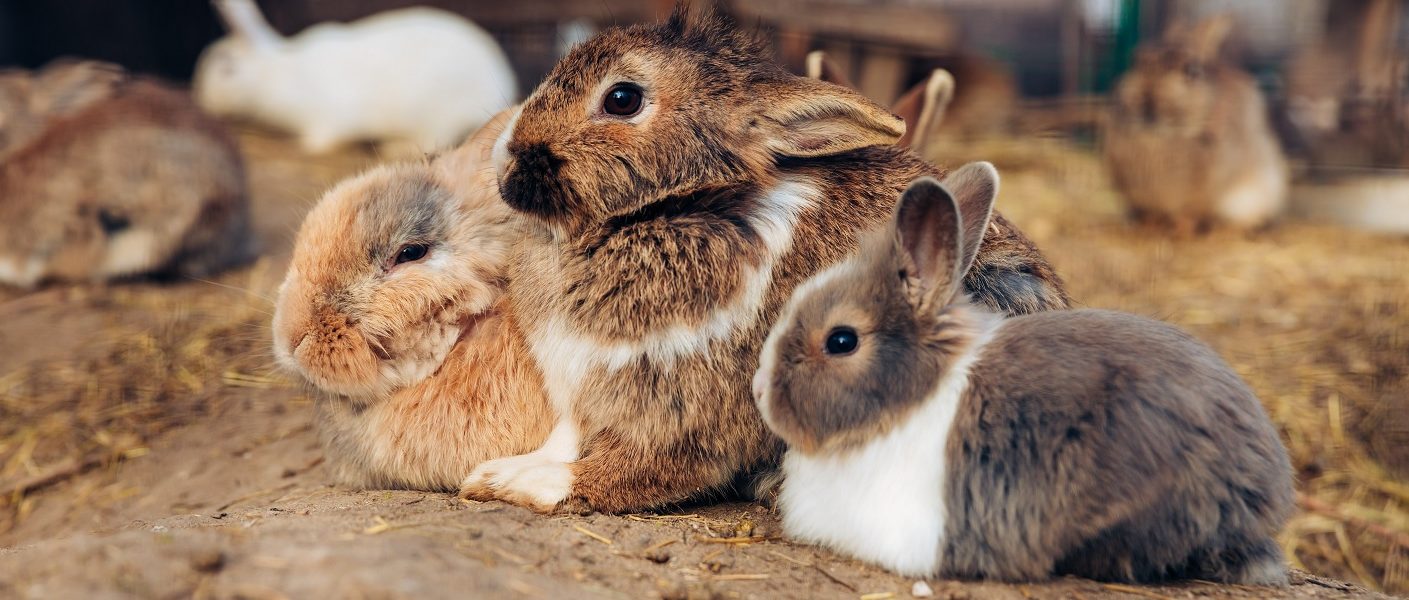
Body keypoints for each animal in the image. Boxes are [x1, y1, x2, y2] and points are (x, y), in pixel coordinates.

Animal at [190, 0, 515, 154]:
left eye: (227, 68)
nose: (201, 101)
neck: (274, 73)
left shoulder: (328, 121)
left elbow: (317, 143)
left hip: (436, 115)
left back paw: (393, 147)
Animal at [462, 3, 1065, 509]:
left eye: (622, 99)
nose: (503, 159)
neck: (672, 210)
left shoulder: (687, 411)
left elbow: (630, 471)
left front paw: (523, 484)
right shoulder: (579, 383)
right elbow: (564, 438)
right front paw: (493, 473)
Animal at [1104, 15, 1290, 232]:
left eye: (1191, 71)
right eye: (1135, 62)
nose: (1148, 104)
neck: (1158, 139)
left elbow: (1193, 211)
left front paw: (1182, 227)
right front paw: (1149, 223)